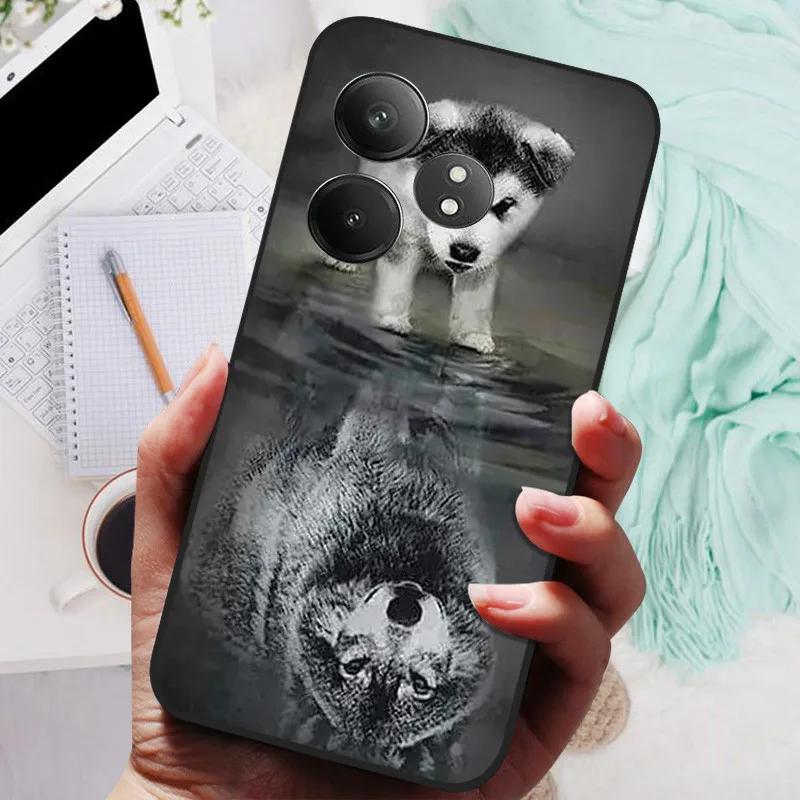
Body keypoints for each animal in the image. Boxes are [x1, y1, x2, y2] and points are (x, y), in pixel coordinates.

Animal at [325, 100, 575, 354]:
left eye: (505, 204)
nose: (464, 251)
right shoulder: (405, 233)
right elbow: (398, 279)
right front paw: (391, 318)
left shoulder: (487, 255)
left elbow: (477, 298)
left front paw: (472, 334)